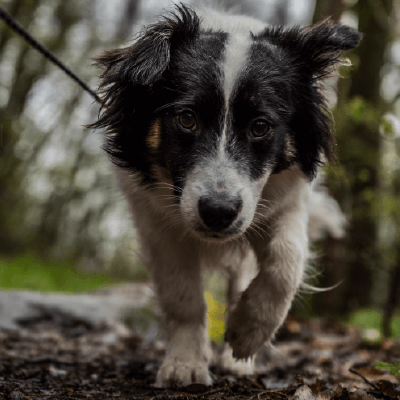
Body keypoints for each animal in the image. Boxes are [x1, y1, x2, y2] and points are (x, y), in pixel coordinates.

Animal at [90, 3, 360, 388]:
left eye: (260, 126)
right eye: (186, 119)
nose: (218, 213)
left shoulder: (284, 202)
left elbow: (286, 261)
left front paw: (248, 333)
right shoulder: (155, 221)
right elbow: (182, 295)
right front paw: (185, 365)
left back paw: (238, 356)